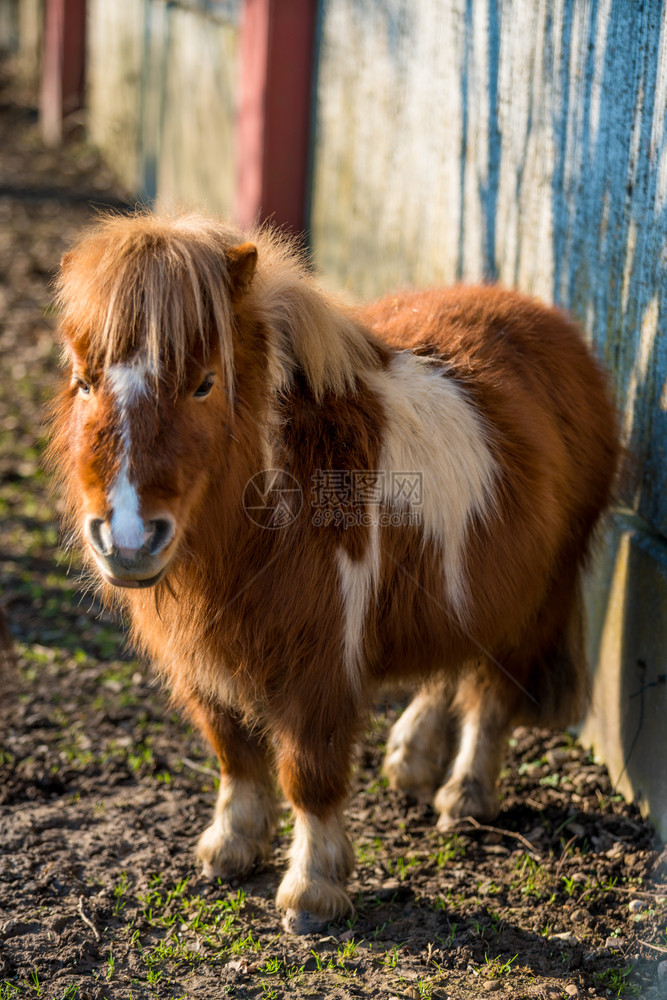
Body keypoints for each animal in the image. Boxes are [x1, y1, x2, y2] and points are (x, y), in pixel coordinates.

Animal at [49, 213, 620, 936]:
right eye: (84, 380)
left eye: (204, 382)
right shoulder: (202, 657)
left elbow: (309, 774)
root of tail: (550, 322)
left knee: (490, 694)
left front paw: (311, 891)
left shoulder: (318, 668)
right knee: (447, 662)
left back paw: (463, 796)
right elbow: (233, 752)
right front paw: (230, 847)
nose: (127, 540)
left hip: (534, 601)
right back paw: (411, 761)